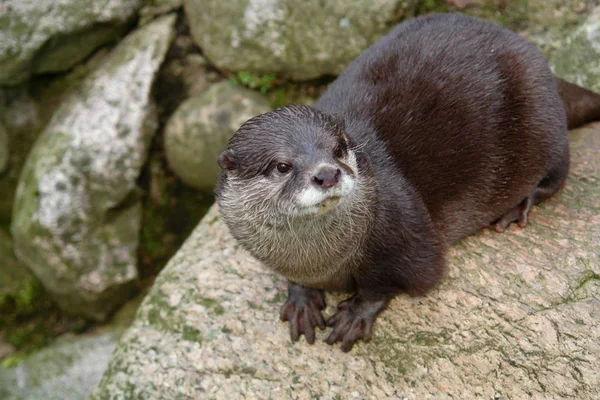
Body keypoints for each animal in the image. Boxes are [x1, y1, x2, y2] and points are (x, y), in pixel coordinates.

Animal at [214, 12, 600, 352]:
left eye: (338, 149)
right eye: (282, 165)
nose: (327, 173)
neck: (319, 261)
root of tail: (539, 60)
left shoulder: (404, 230)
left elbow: (402, 279)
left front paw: (356, 313)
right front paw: (301, 297)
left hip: (542, 119)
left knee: (557, 173)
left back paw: (518, 206)